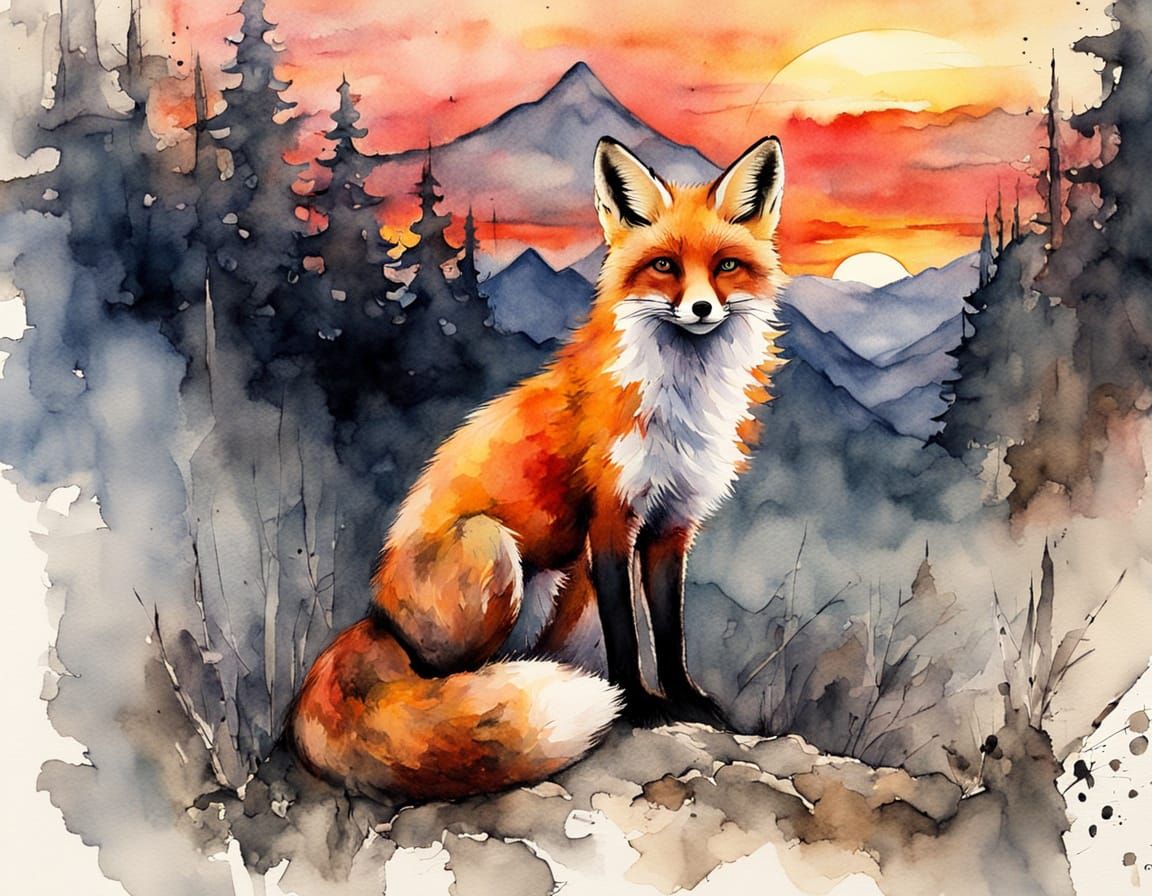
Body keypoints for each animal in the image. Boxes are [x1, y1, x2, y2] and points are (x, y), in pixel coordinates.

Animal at [289, 135, 787, 801]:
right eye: (664, 266)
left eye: (726, 265)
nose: (702, 308)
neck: (679, 403)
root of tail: (377, 614)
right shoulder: (610, 519)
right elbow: (627, 634)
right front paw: (638, 706)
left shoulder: (672, 526)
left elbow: (669, 629)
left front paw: (684, 700)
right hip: (494, 550)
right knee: (449, 679)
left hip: (564, 584)